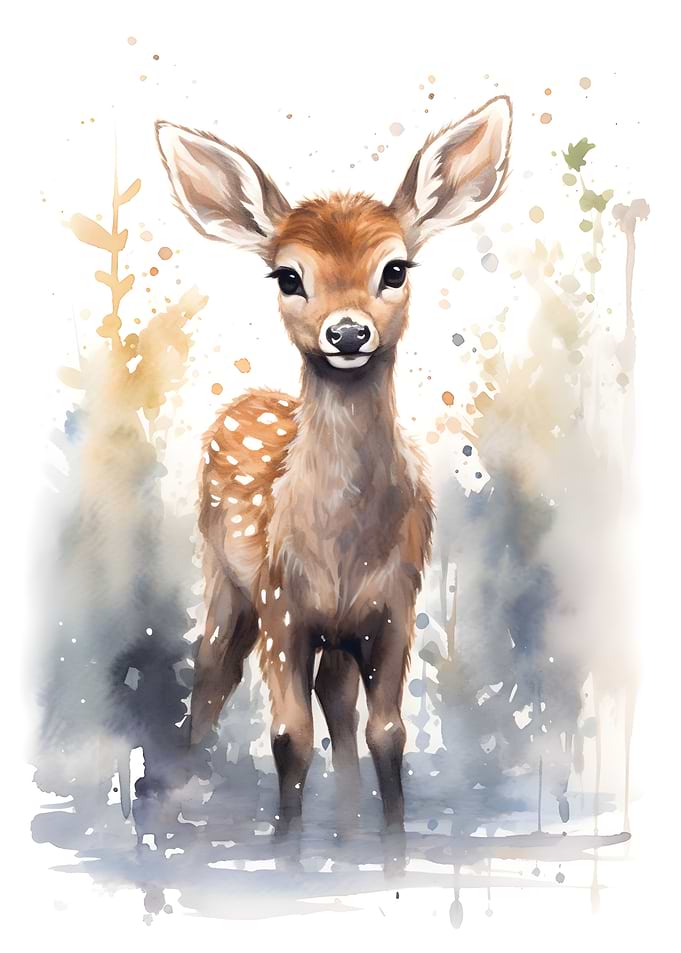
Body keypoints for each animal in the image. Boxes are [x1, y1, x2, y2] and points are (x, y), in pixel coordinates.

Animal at [155, 96, 511, 844]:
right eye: (288, 275)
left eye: (396, 268)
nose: (347, 332)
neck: (342, 546)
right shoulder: (281, 602)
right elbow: (288, 736)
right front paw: (286, 848)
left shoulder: (396, 603)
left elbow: (389, 733)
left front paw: (390, 847)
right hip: (224, 576)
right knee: (212, 674)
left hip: (335, 627)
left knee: (337, 699)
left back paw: (346, 830)